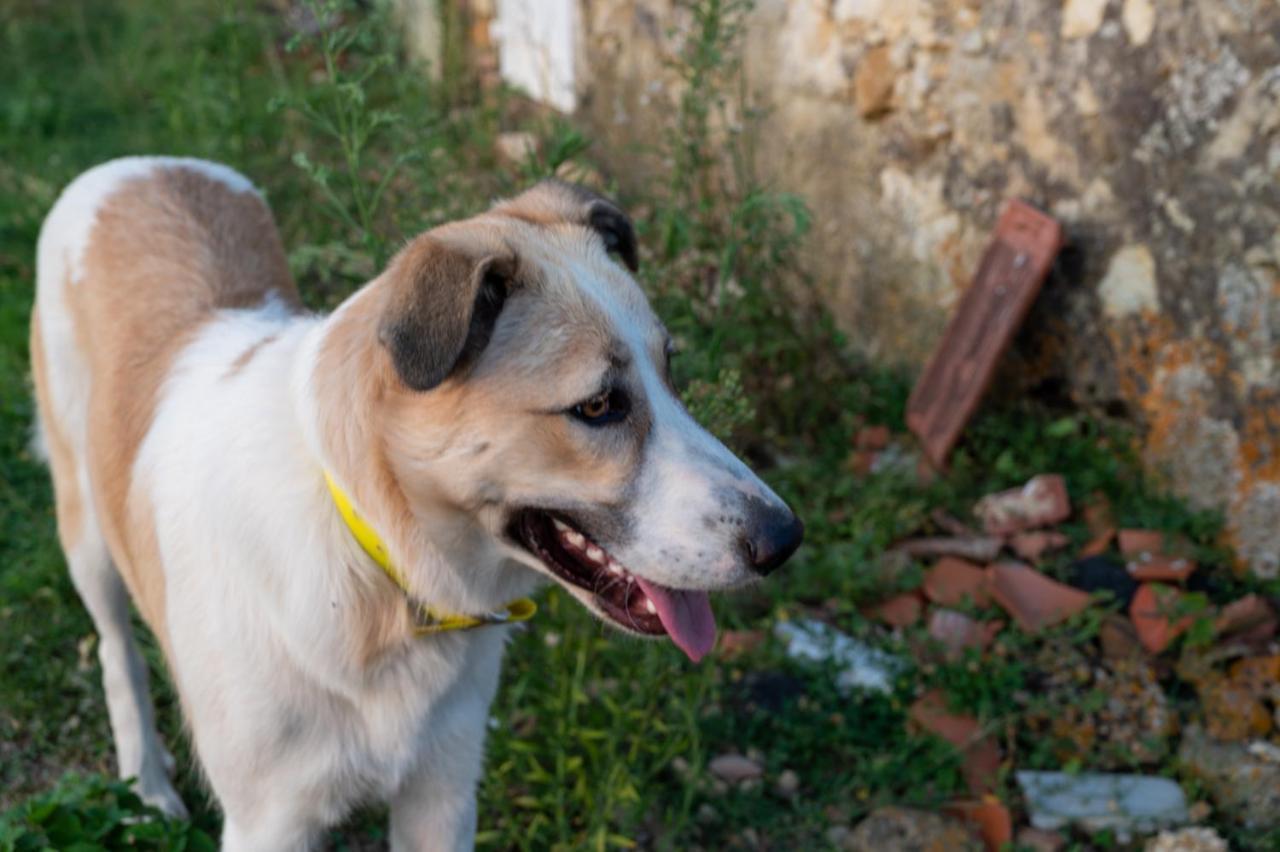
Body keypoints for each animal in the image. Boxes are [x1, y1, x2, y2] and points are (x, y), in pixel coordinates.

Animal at [30, 156, 798, 844]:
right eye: (598, 405)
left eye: (672, 372)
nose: (785, 540)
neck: (379, 571)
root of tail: (136, 165)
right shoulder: (270, 821)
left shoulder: (442, 792)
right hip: (85, 536)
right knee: (116, 651)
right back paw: (145, 783)